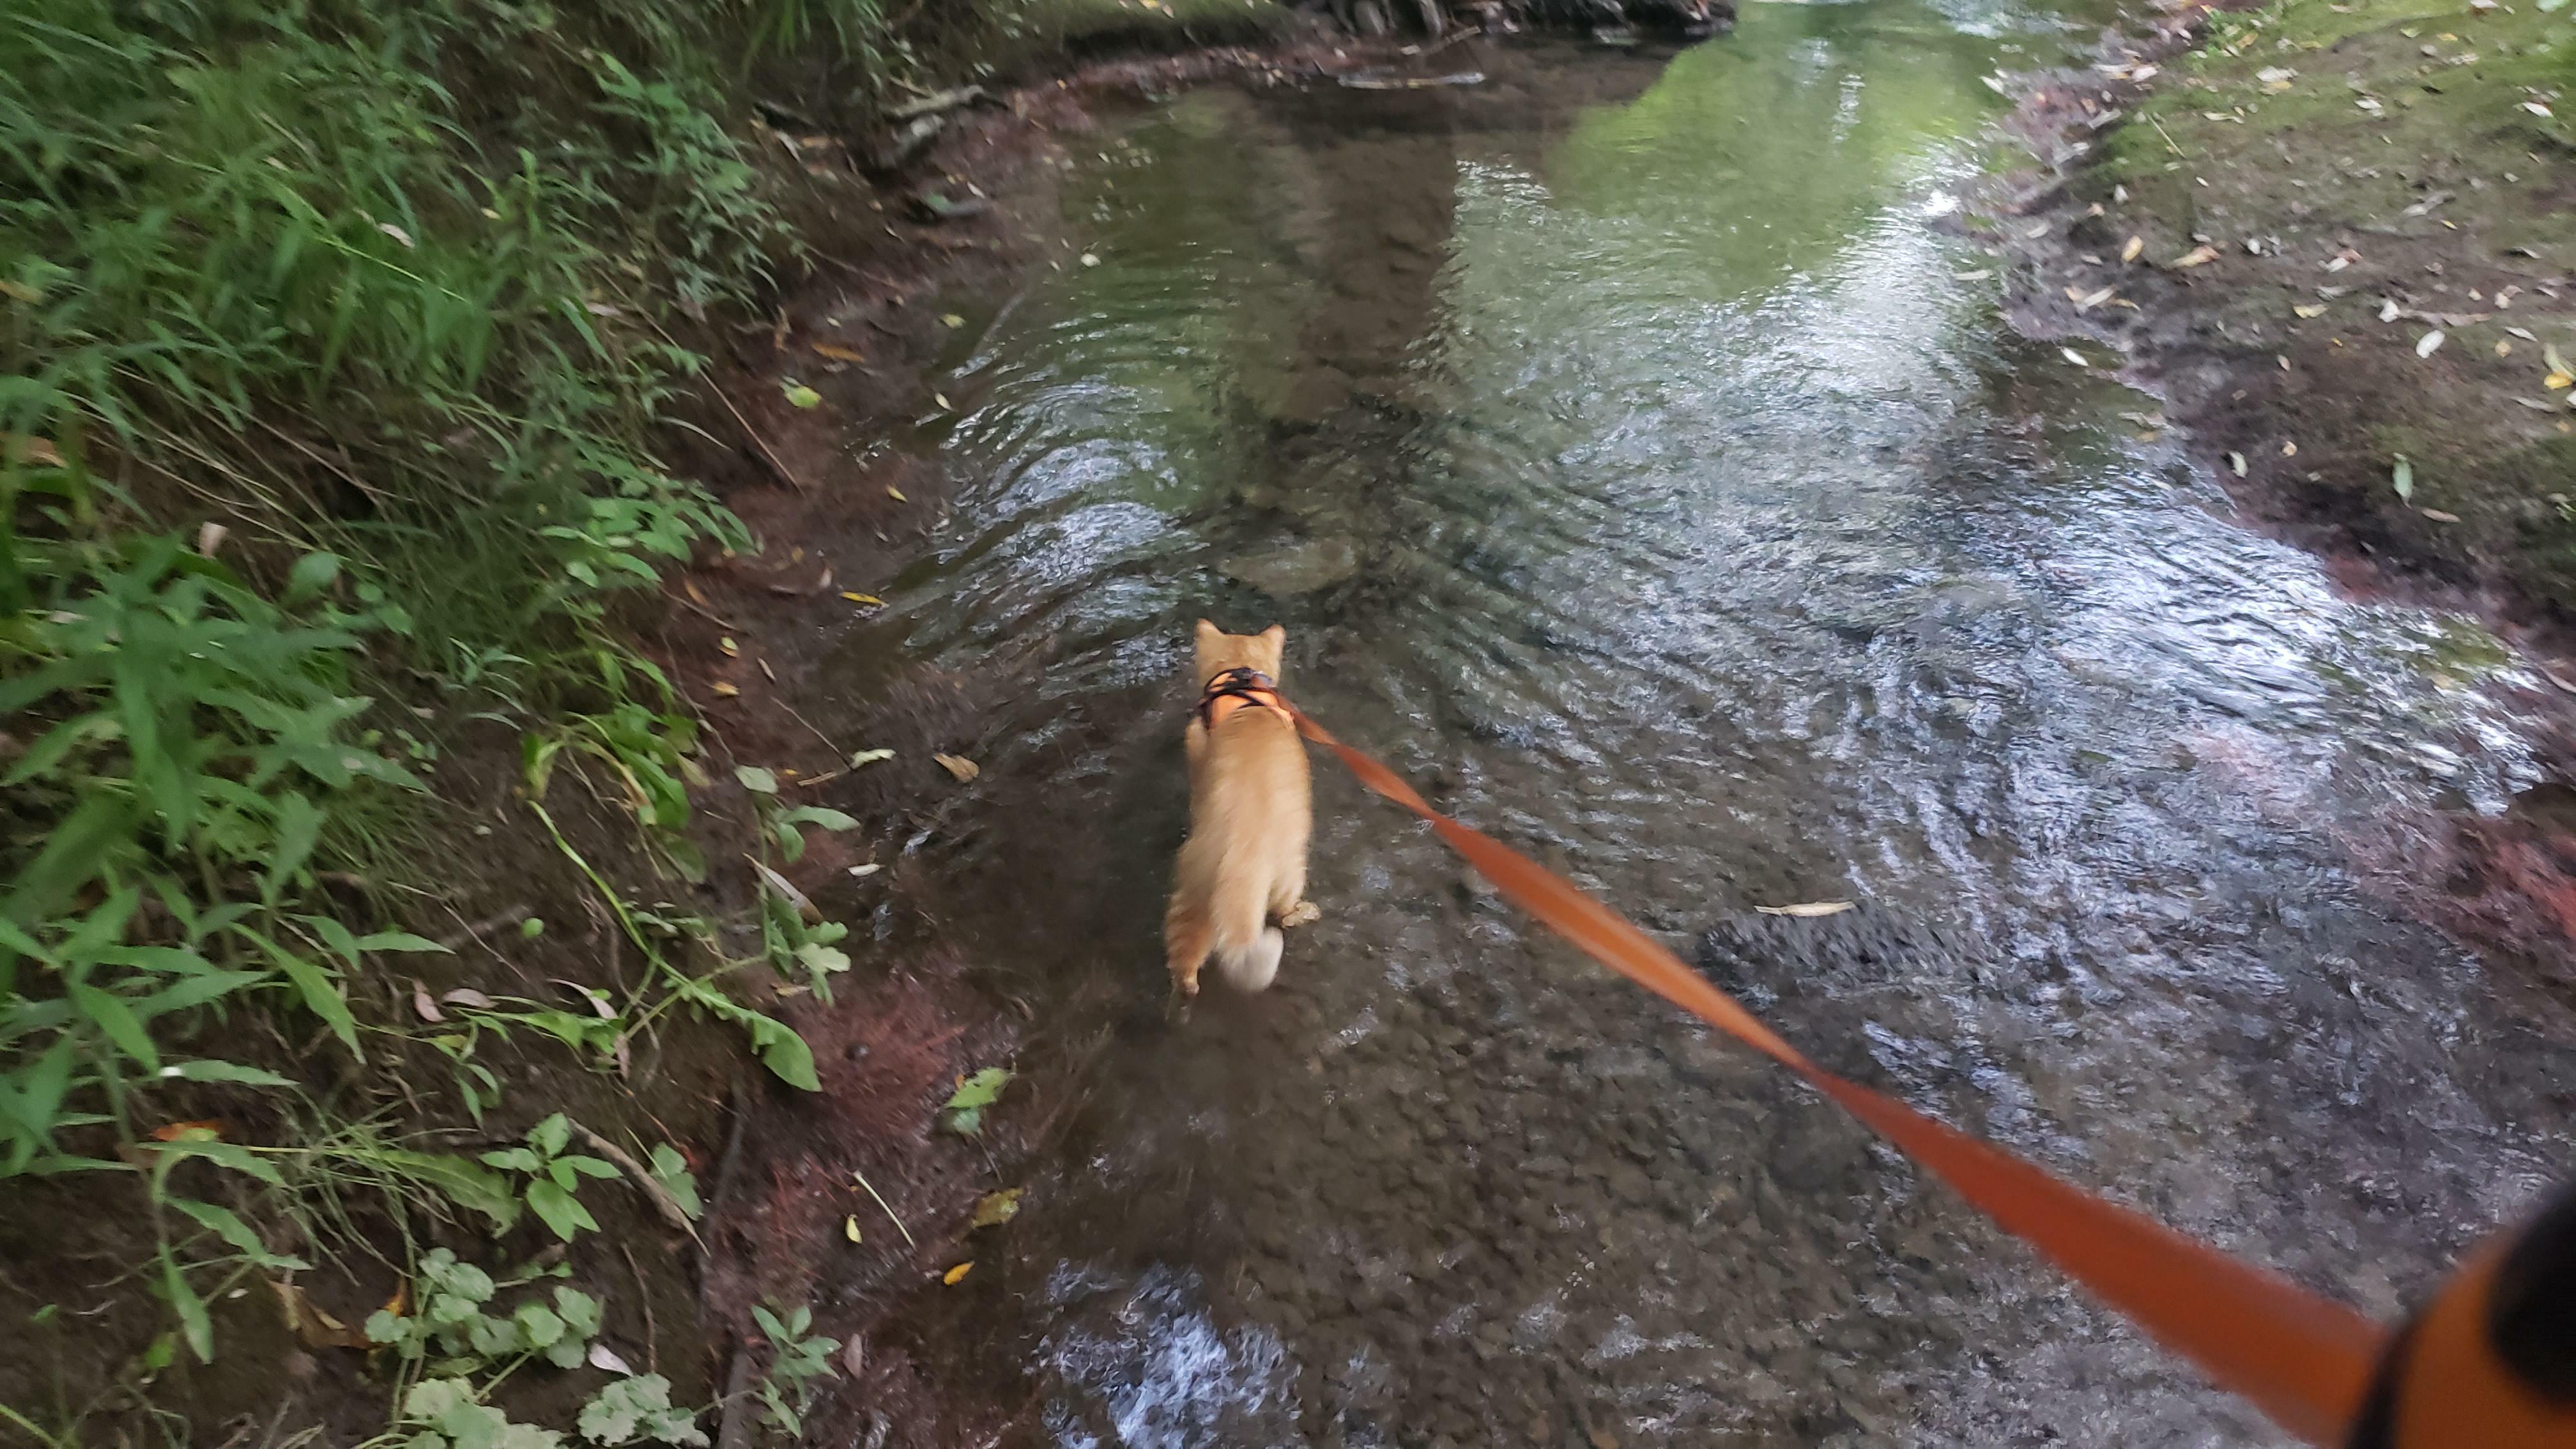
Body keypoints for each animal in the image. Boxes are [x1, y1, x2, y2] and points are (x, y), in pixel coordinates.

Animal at [1174, 613, 1329, 1000]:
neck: (1241, 687)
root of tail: (1246, 850)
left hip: (1196, 889)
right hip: (1290, 872)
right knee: (1284, 914)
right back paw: (1307, 911)